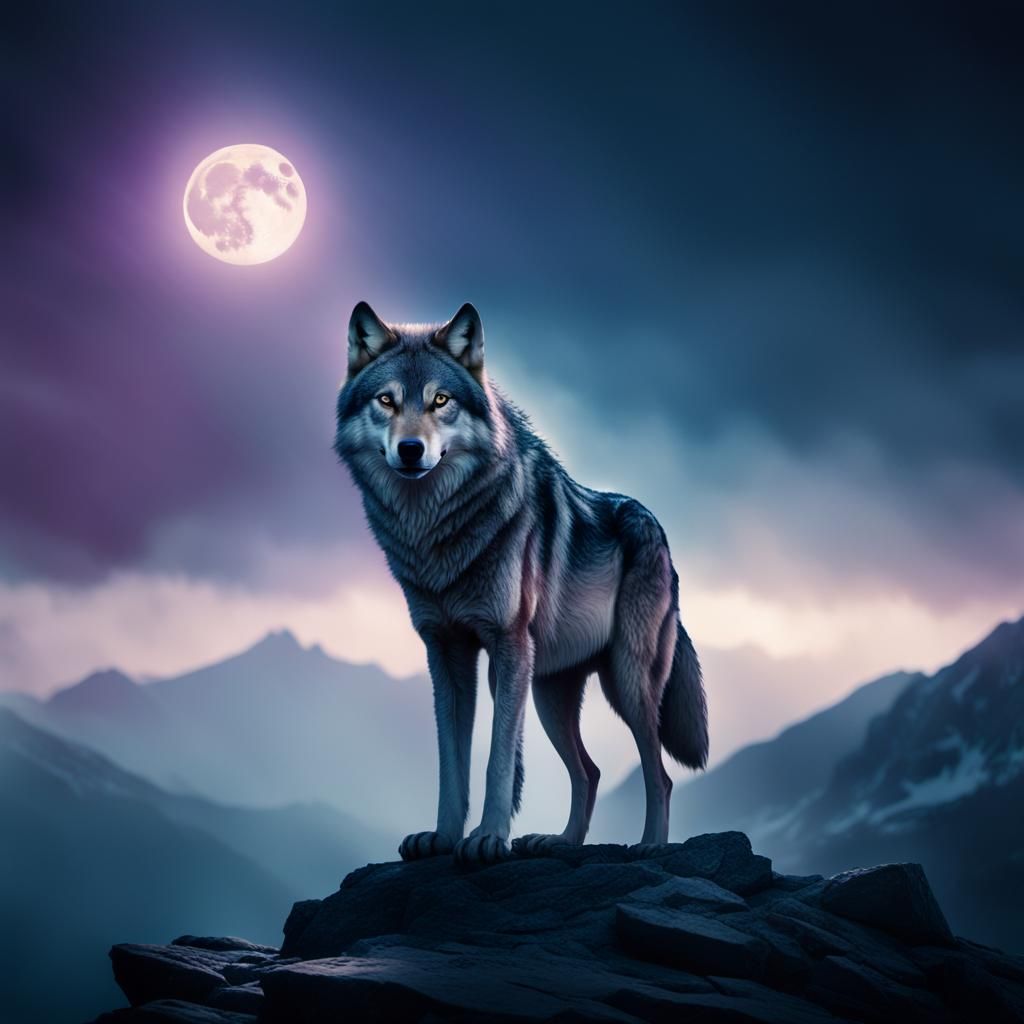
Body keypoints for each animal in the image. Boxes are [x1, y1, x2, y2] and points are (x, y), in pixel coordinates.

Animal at [334, 301, 708, 865]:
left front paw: (488, 839)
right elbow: (452, 762)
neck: (435, 532)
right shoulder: (446, 652)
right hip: (551, 693)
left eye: (440, 400)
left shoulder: (507, 647)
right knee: (590, 771)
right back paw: (560, 842)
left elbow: (497, 759)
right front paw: (443, 838)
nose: (410, 449)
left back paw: (648, 846)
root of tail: (658, 531)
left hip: (627, 681)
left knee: (658, 774)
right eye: (386, 400)